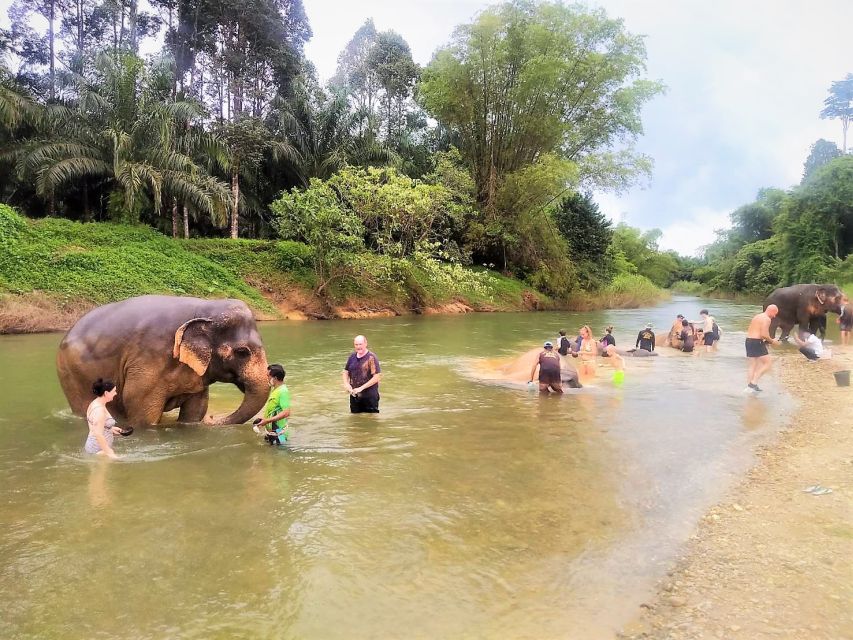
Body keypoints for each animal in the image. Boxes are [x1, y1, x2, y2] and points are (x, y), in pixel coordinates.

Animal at [57, 298, 270, 428]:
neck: (204, 308)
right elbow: (140, 409)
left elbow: (195, 409)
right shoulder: (148, 359)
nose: (211, 419)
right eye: (242, 352)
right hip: (74, 376)